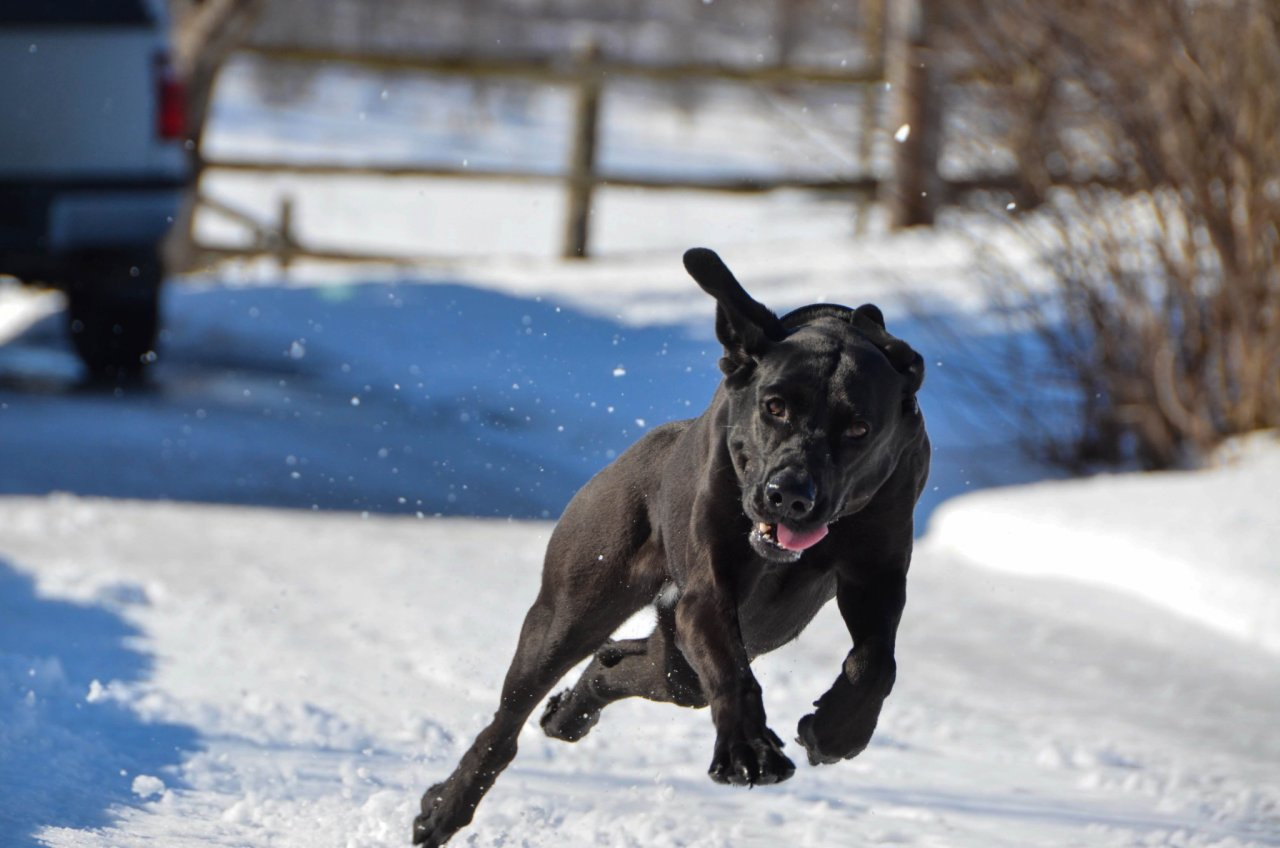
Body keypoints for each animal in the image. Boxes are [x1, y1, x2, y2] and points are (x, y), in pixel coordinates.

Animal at [414, 249, 926, 845]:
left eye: (860, 428)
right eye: (774, 407)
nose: (790, 495)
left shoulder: (878, 571)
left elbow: (876, 661)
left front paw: (838, 729)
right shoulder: (709, 588)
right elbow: (730, 668)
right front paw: (748, 748)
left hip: (729, 638)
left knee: (639, 666)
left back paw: (573, 708)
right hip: (574, 604)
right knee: (508, 721)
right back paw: (445, 806)